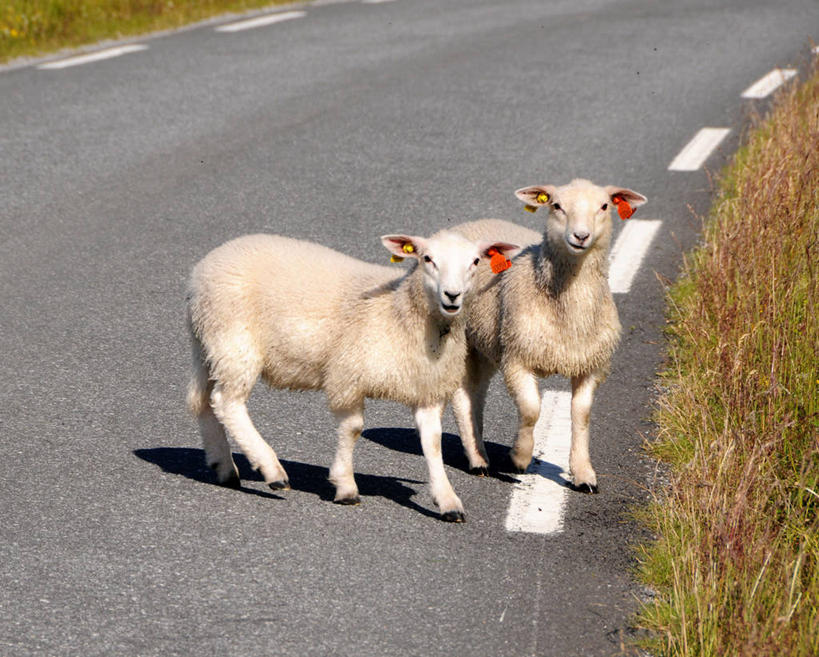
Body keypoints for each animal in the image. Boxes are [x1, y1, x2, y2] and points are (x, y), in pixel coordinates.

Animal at [187, 228, 520, 520]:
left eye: (475, 262)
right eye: (427, 258)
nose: (453, 296)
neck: (400, 310)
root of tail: (204, 267)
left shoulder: (426, 387)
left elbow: (433, 442)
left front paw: (448, 500)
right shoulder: (349, 373)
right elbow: (353, 429)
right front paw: (346, 486)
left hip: (209, 347)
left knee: (203, 401)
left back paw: (224, 467)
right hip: (234, 342)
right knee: (227, 402)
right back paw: (271, 469)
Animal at [448, 179, 648, 492]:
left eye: (604, 206)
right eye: (556, 205)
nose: (581, 236)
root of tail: (473, 223)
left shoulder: (591, 365)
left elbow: (581, 415)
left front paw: (583, 474)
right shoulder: (517, 357)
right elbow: (531, 409)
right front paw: (519, 457)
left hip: (484, 343)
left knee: (475, 395)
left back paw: (480, 453)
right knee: (461, 396)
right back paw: (478, 460)